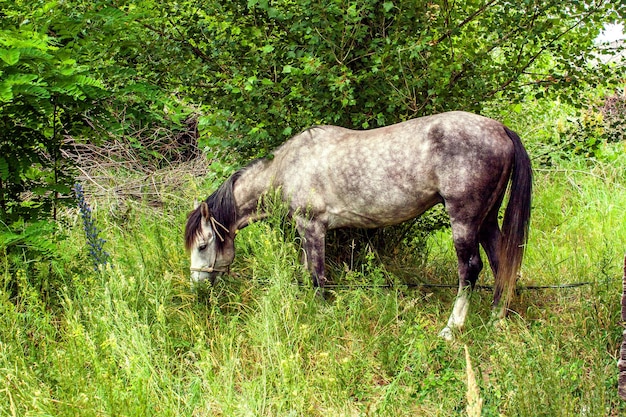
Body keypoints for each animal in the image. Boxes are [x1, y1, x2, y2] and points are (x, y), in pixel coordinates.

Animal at [183, 110, 528, 338]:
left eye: (202, 245)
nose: (197, 287)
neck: (288, 167)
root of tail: (500, 129)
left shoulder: (312, 227)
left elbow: (317, 275)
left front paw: (321, 314)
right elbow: (306, 271)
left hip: (464, 219)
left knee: (470, 268)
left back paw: (452, 327)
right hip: (486, 219)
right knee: (500, 262)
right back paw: (496, 319)